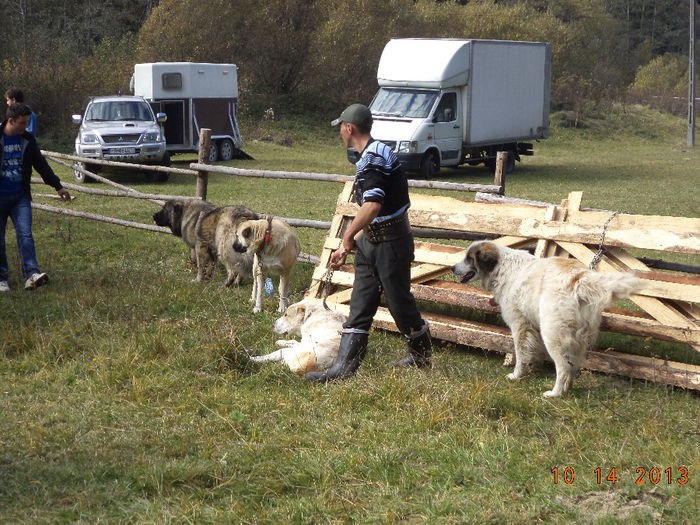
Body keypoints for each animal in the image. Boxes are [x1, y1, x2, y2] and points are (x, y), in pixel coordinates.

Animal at [454, 242, 640, 398]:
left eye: (469, 258)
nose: (452, 267)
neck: (501, 267)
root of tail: (579, 278)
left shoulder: (520, 325)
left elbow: (520, 354)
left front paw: (516, 375)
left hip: (553, 335)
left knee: (563, 368)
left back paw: (555, 394)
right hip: (578, 340)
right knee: (572, 367)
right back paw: (567, 389)